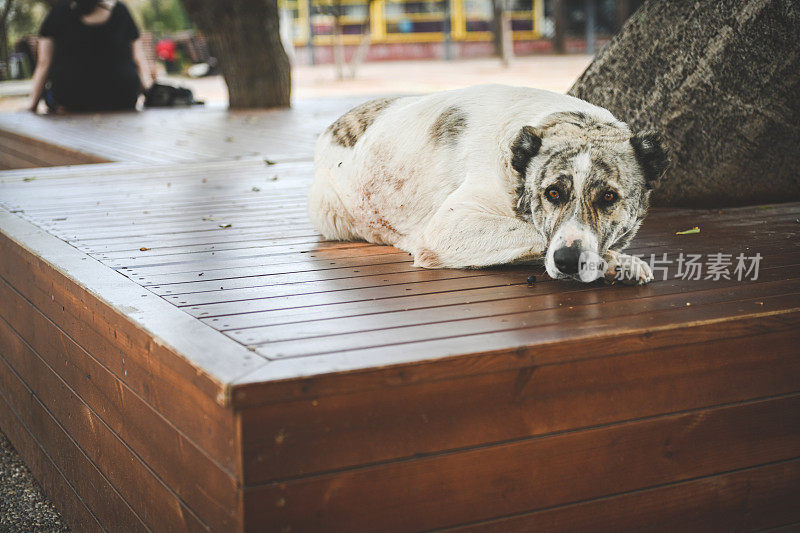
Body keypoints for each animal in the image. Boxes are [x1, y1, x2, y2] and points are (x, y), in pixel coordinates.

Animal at [306, 84, 668, 282]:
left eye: (608, 197)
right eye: (552, 193)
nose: (567, 261)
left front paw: (621, 262)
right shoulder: (450, 226)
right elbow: (531, 232)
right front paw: (615, 261)